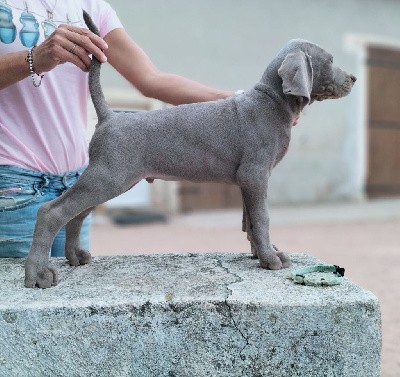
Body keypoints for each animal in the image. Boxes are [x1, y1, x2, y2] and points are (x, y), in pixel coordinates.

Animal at [24, 11, 356, 288]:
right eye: (330, 60)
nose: (353, 78)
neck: (272, 102)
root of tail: (109, 117)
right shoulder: (256, 174)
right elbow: (262, 218)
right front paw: (272, 259)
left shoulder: (247, 180)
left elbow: (250, 221)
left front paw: (260, 254)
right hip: (109, 176)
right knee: (52, 211)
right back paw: (38, 274)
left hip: (110, 179)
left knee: (76, 214)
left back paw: (75, 257)